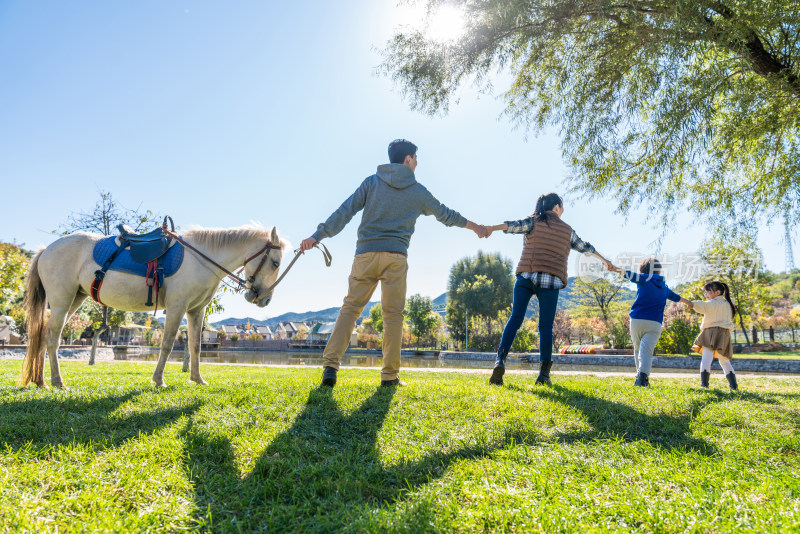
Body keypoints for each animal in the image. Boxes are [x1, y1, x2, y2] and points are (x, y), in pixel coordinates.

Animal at [17, 225, 288, 390]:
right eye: (275, 263)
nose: (264, 300)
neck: (200, 258)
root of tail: (46, 250)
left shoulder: (196, 310)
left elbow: (195, 347)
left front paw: (197, 379)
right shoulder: (177, 307)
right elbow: (167, 345)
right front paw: (159, 380)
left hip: (74, 299)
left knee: (43, 337)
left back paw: (40, 381)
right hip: (62, 302)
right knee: (53, 339)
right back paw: (57, 381)